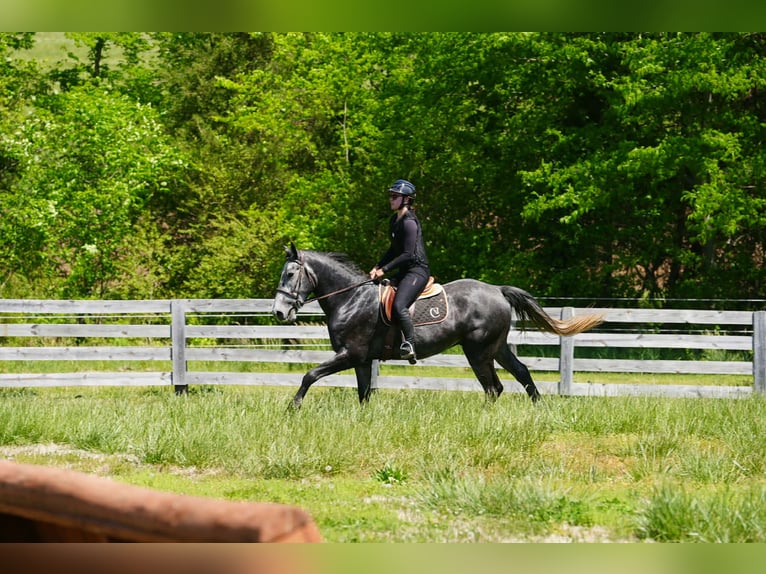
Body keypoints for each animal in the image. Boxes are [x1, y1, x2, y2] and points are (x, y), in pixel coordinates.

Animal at [272, 244, 604, 409]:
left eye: (290, 274)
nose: (278, 311)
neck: (350, 298)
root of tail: (497, 290)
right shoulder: (362, 360)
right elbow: (364, 394)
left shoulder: (350, 354)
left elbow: (310, 374)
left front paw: (292, 408)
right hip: (496, 348)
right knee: (519, 374)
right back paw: (537, 410)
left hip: (478, 351)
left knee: (493, 387)